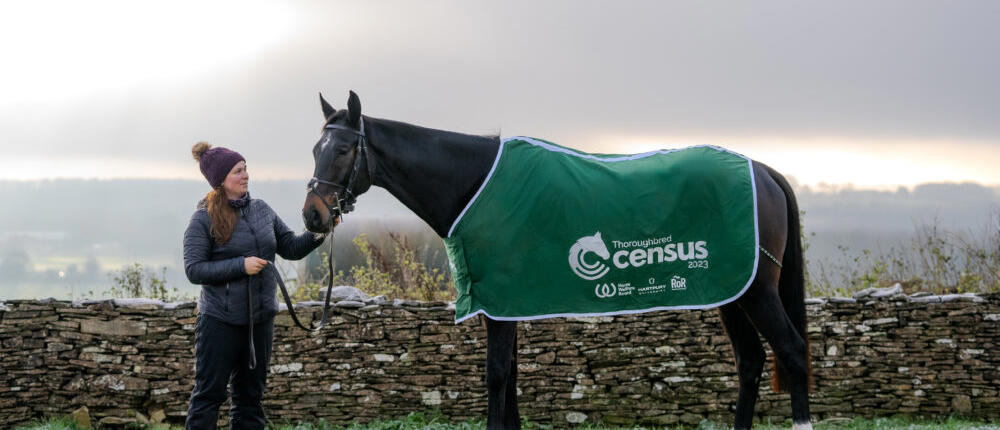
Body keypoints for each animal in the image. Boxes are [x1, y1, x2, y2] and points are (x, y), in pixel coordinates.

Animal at [298, 91, 812, 430]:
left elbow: (496, 377)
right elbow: (511, 380)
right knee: (750, 361)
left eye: (342, 149)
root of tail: (764, 171)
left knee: (791, 351)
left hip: (758, 291)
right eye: (315, 149)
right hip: (731, 290)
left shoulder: (500, 304)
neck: (476, 184)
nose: (312, 215)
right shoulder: (507, 303)